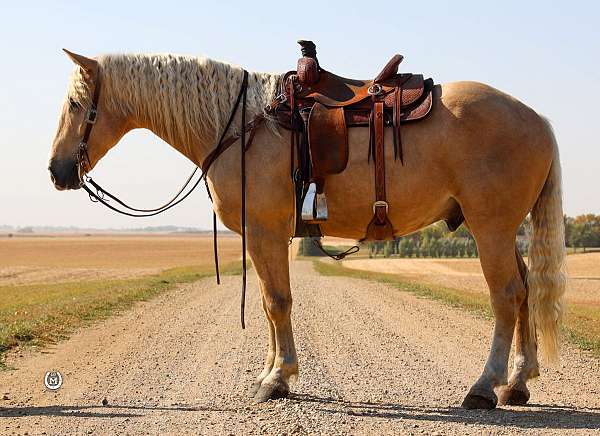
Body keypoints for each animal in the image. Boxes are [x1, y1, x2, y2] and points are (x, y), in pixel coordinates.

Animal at [49, 50, 564, 408]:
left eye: (75, 102)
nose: (57, 171)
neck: (241, 126)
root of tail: (538, 118)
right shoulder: (263, 237)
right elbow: (266, 303)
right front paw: (268, 372)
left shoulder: (265, 232)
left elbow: (278, 302)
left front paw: (278, 379)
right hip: (504, 230)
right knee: (524, 291)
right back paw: (518, 383)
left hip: (490, 227)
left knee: (506, 296)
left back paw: (485, 387)